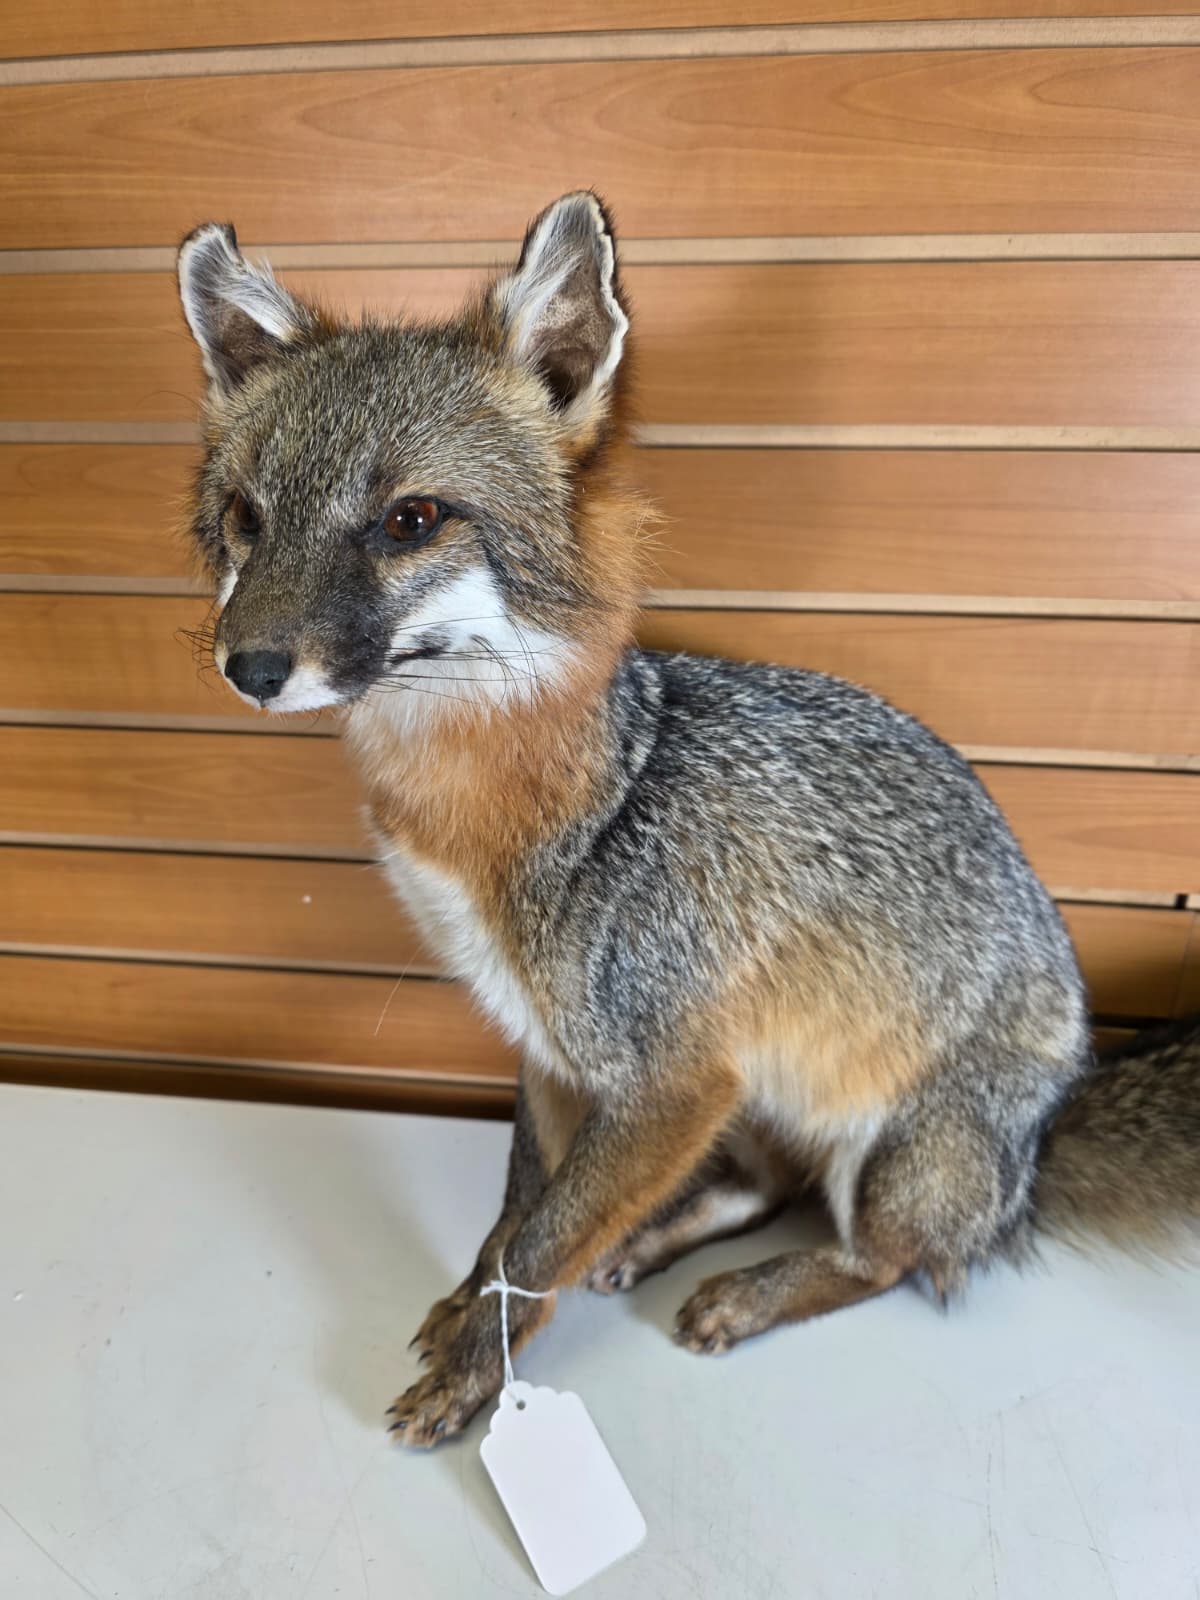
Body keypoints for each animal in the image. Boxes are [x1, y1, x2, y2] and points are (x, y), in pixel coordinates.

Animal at [176, 191, 1200, 1449]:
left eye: (410, 518)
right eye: (244, 517)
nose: (249, 666)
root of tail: (1056, 1114)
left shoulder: (669, 1080)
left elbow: (543, 1241)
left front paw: (477, 1375)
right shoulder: (554, 1054)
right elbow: (519, 1220)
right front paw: (475, 1312)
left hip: (889, 1152)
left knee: (894, 1260)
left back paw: (749, 1293)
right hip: (764, 1091)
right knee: (762, 1187)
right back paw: (653, 1245)